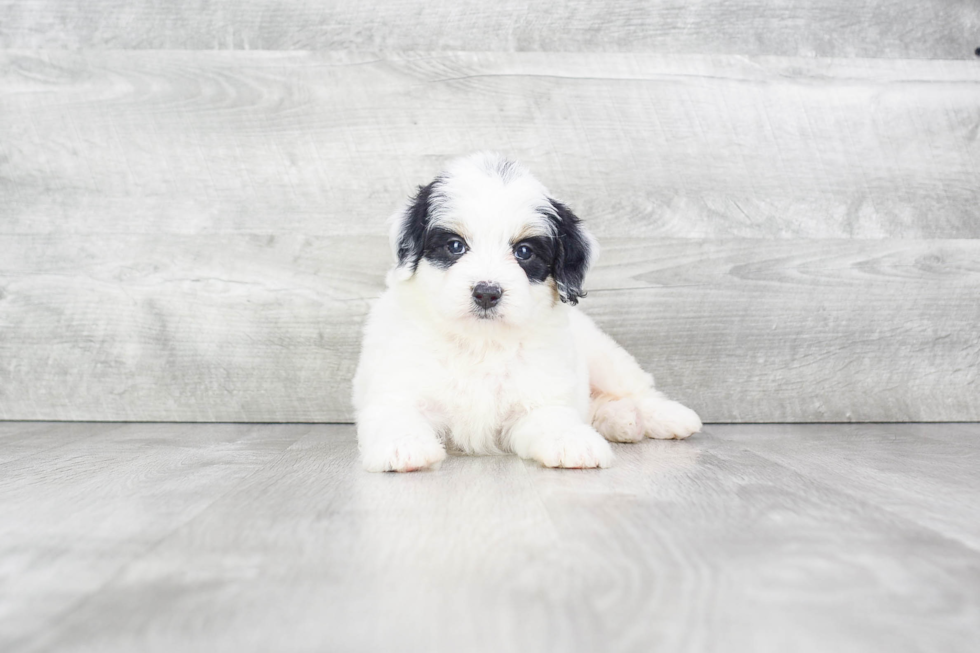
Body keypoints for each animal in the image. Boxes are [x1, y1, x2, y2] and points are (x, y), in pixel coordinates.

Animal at [348, 152, 700, 468]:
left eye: (524, 252)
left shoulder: (539, 394)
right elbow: (396, 413)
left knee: (636, 388)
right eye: (455, 246)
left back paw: (668, 417)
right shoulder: (398, 382)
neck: (481, 342)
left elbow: (551, 417)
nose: (487, 293)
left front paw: (572, 441)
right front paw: (403, 445)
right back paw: (624, 421)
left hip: (604, 356)